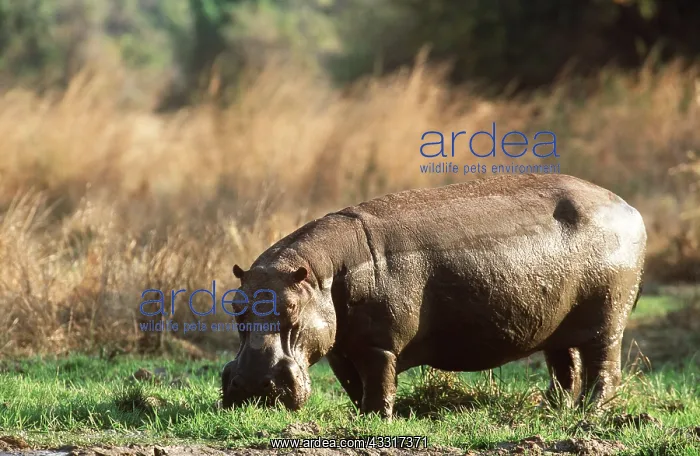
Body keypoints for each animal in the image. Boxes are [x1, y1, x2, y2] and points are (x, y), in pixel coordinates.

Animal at [221, 173, 646, 418]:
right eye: (235, 306)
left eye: (292, 307)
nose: (253, 386)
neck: (321, 275)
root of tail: (629, 207)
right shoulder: (340, 347)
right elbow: (353, 385)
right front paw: (361, 415)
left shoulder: (380, 346)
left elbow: (378, 383)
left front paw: (377, 419)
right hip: (554, 322)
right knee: (565, 368)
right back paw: (553, 408)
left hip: (608, 318)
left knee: (604, 368)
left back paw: (589, 414)